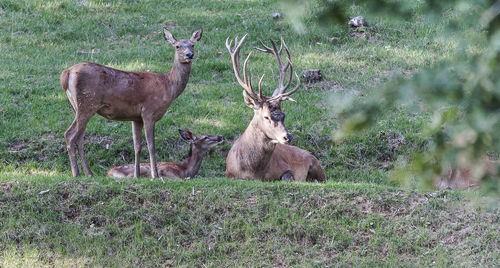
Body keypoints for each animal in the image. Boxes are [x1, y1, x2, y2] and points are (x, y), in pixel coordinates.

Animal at [61, 27, 202, 178]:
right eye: (177, 46)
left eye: (192, 45)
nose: (189, 55)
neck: (168, 86)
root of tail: (66, 73)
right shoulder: (149, 112)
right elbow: (151, 145)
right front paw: (155, 175)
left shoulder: (136, 118)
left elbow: (137, 146)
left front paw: (137, 175)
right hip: (87, 103)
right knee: (70, 135)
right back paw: (76, 173)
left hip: (76, 106)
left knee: (79, 138)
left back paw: (89, 173)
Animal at [225, 35, 326, 182]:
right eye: (266, 116)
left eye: (283, 115)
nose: (287, 136)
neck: (253, 172)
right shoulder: (228, 174)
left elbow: (287, 176)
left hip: (317, 165)